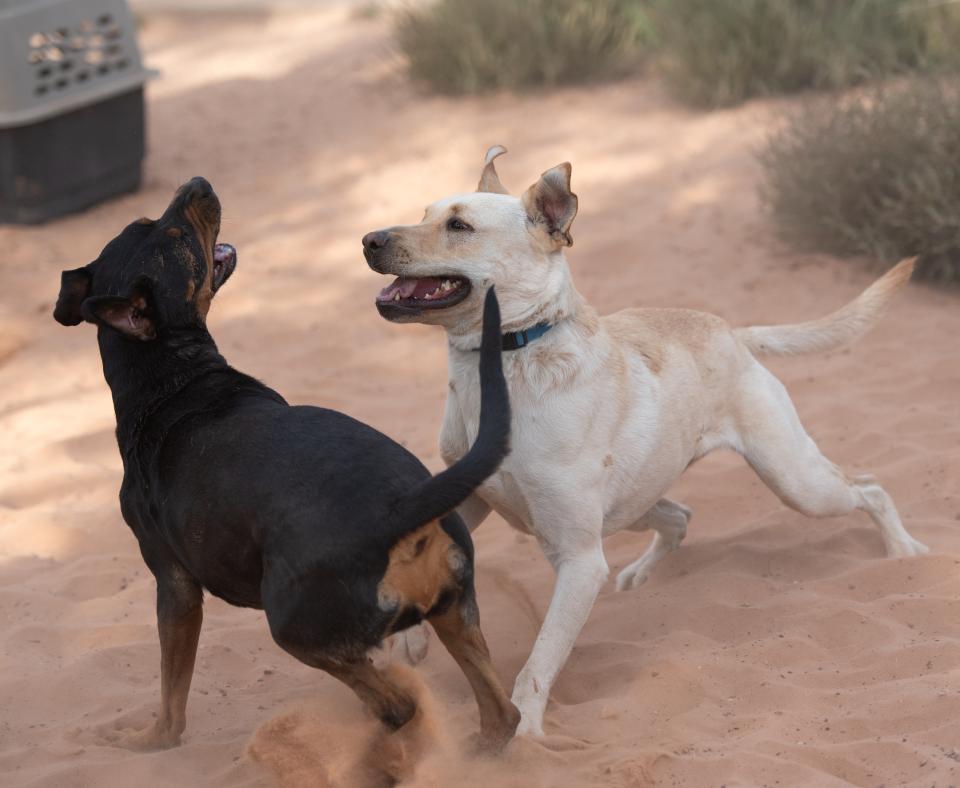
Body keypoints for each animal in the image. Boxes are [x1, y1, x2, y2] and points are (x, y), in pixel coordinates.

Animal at [52, 177, 516, 752]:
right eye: (172, 233)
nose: (199, 184)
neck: (172, 379)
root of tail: (402, 508)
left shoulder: (174, 585)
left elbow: (171, 695)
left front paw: (149, 742)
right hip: (453, 613)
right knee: (501, 714)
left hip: (294, 627)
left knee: (399, 705)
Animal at [360, 148, 924, 740]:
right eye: (425, 212)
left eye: (459, 227)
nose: (369, 239)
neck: (502, 365)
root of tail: (733, 333)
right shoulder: (469, 498)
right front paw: (410, 641)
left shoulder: (580, 560)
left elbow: (537, 665)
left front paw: (527, 739)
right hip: (634, 502)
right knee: (679, 516)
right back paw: (641, 577)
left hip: (795, 481)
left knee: (868, 487)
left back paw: (902, 551)